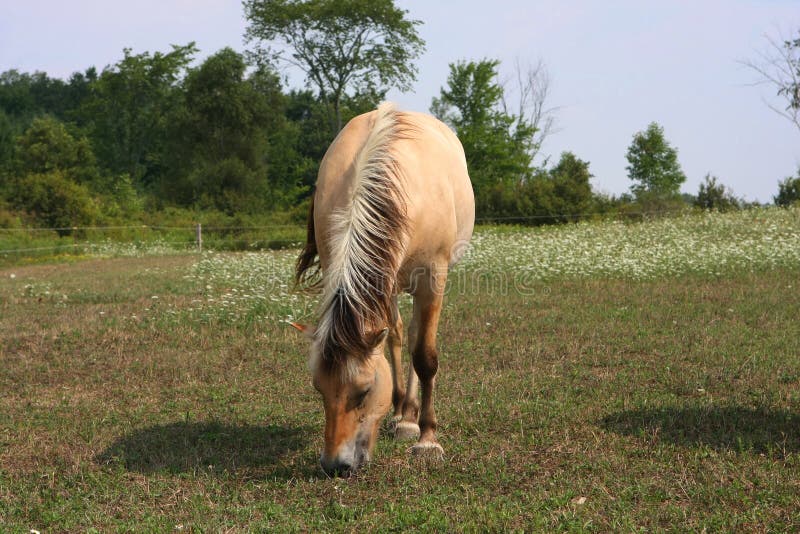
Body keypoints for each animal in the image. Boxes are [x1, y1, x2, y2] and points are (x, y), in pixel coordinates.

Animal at [292, 102, 474, 476]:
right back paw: (403, 413)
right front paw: (405, 416)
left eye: (363, 391)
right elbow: (395, 339)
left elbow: (425, 357)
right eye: (318, 388)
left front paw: (428, 440)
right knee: (399, 334)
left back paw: (412, 420)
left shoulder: (433, 277)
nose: (335, 465)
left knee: (417, 338)